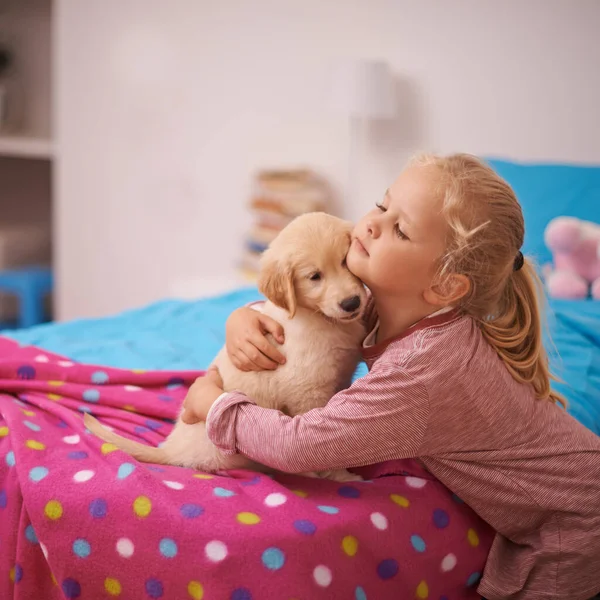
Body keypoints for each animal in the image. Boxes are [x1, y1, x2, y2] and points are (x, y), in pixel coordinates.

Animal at [84, 213, 366, 480]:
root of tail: (173, 451)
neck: (321, 319)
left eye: (345, 261)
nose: (352, 303)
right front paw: (341, 477)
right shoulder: (308, 392)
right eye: (314, 277)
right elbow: (326, 450)